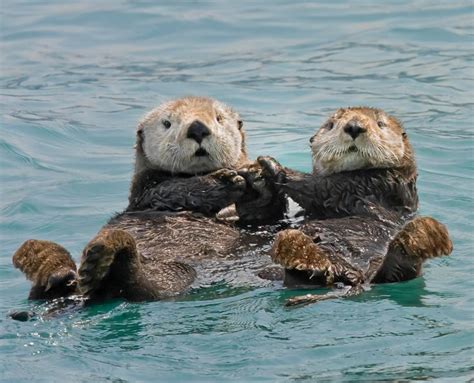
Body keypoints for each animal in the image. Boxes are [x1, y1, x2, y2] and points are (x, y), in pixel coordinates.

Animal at [12, 97, 286, 308]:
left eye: (218, 118)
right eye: (167, 123)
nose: (198, 128)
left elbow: (262, 213)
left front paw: (259, 179)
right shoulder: (148, 191)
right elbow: (176, 190)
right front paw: (225, 181)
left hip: (174, 272)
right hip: (170, 270)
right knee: (142, 289)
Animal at [254, 107, 454, 306]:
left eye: (380, 124)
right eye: (331, 125)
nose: (354, 127)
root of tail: (356, 279)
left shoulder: (371, 185)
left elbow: (318, 187)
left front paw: (271, 164)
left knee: (399, 273)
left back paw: (422, 237)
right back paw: (298, 251)